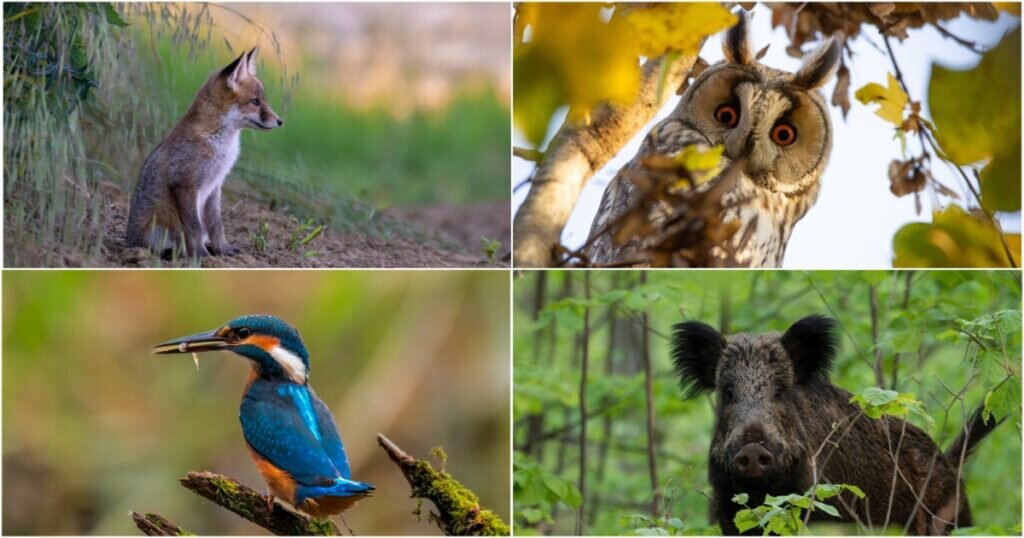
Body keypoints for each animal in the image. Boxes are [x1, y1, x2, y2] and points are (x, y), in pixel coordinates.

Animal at [126, 45, 284, 256]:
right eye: (255, 102)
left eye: (262, 101)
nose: (280, 121)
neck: (219, 143)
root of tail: (129, 241)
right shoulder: (185, 184)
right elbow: (195, 227)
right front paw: (201, 256)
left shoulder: (215, 185)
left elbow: (216, 225)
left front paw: (223, 250)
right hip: (158, 230)